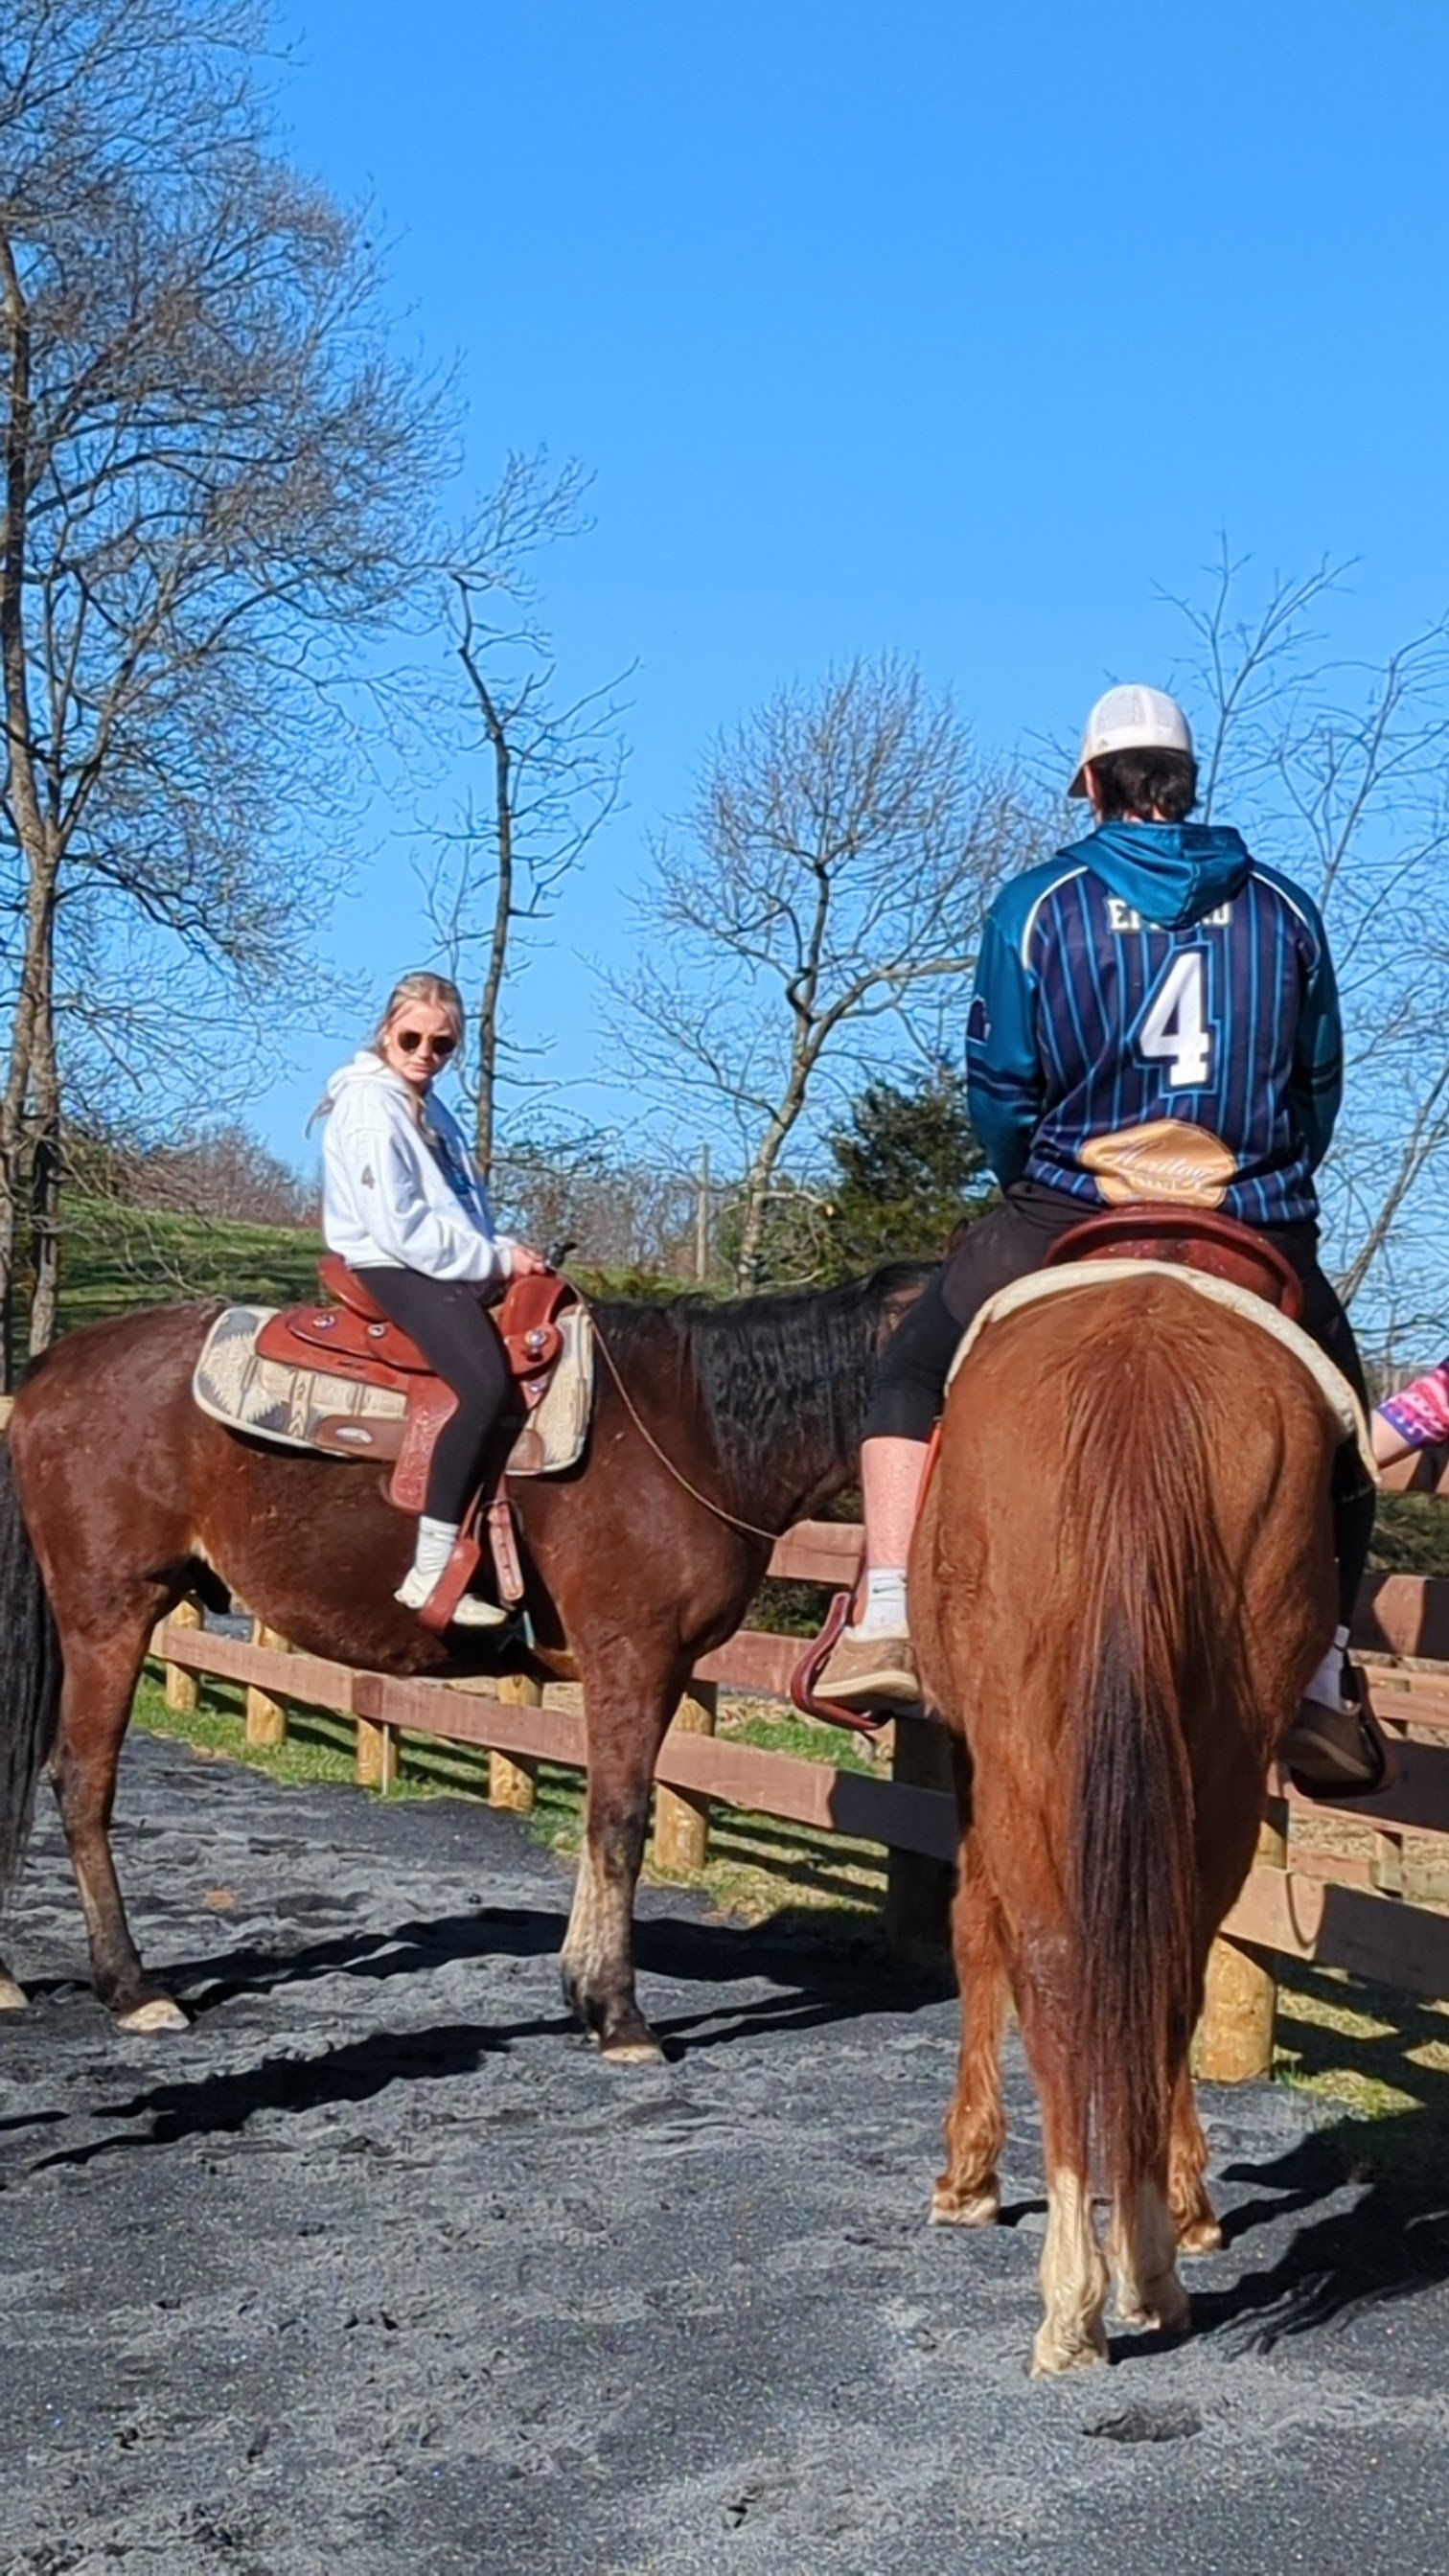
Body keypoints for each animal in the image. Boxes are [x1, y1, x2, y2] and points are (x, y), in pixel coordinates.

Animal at [0, 1267, 917, 2050]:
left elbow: (604, 1818)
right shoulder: (633, 1656)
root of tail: (48, 1371)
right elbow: (619, 1822)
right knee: (82, 1782)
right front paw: (618, 2014)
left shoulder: (657, 1668)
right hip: (110, 1613)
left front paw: (585, 1992)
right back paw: (132, 1987)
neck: (695, 1432)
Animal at [908, 1267, 1341, 2369]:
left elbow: (978, 1932)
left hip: (1024, 1746)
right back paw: (1146, 2255)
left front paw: (969, 2175)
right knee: (1165, 1965)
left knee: (1057, 1966)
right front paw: (1191, 2202)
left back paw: (1077, 2291)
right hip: (1224, 1754)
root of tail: (1141, 1376)